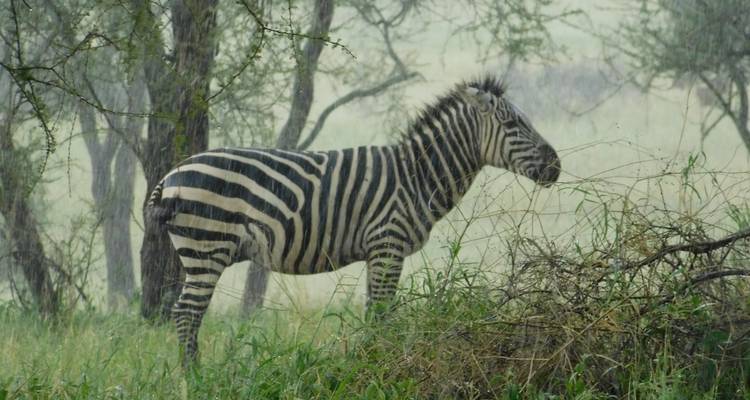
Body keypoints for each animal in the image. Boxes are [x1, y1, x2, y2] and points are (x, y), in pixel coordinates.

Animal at [145, 76, 561, 364]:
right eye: (514, 126)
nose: (556, 166)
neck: (416, 177)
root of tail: (172, 173)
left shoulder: (379, 253)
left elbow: (374, 313)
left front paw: (373, 359)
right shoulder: (387, 245)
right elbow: (381, 313)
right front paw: (380, 363)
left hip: (199, 252)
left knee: (185, 313)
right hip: (207, 248)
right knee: (187, 313)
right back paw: (194, 377)